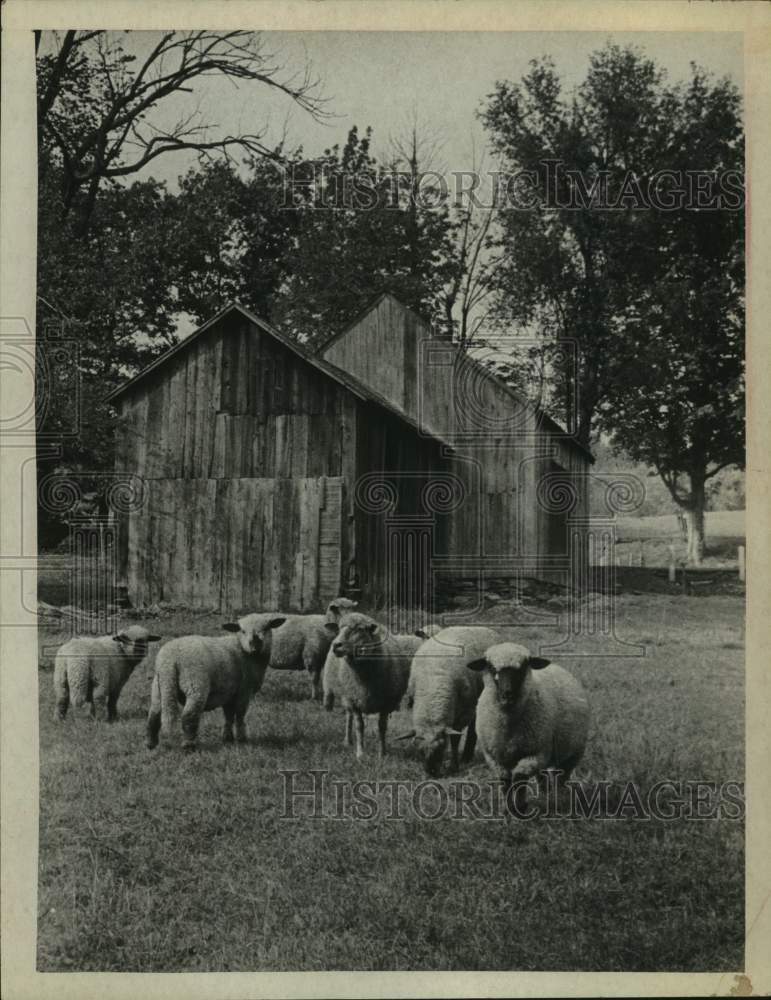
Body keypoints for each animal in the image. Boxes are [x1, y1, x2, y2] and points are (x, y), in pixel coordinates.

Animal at [146, 608, 286, 752]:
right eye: (242, 631)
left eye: (266, 628)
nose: (255, 644)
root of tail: (169, 659)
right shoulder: (244, 690)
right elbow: (240, 714)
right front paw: (241, 739)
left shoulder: (229, 693)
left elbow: (228, 715)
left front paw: (228, 738)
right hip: (195, 684)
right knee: (189, 715)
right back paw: (188, 745)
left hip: (160, 685)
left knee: (154, 714)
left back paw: (151, 744)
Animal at [320, 612, 428, 760]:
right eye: (339, 629)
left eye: (359, 629)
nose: (336, 645)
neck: (364, 677)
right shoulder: (355, 700)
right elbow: (359, 726)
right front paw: (360, 754)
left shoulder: (386, 703)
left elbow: (381, 727)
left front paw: (382, 754)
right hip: (346, 695)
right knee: (348, 717)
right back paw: (348, 741)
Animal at [398, 624, 500, 780]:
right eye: (419, 750)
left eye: (441, 747)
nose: (432, 773)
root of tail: (489, 630)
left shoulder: (463, 712)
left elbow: (455, 739)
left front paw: (454, 766)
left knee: (474, 728)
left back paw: (467, 757)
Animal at [464, 644, 592, 800]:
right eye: (492, 668)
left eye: (522, 667)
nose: (507, 695)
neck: (507, 727)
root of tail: (557, 666)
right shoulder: (495, 759)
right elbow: (506, 785)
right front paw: (509, 806)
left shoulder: (535, 754)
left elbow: (519, 780)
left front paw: (520, 805)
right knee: (543, 775)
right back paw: (545, 792)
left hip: (572, 752)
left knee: (562, 777)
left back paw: (559, 796)